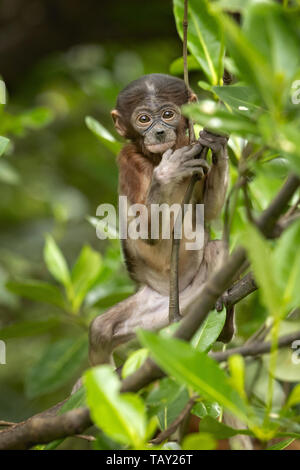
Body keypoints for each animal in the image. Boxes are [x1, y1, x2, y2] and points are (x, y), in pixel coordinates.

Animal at [89, 74, 234, 368]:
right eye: (144, 119)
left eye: (168, 115)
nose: (157, 131)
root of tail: (173, 304)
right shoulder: (128, 161)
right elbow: (146, 231)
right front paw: (167, 173)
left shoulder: (193, 148)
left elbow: (209, 210)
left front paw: (217, 141)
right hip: (149, 311)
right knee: (101, 330)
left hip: (191, 296)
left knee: (215, 248)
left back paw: (225, 321)